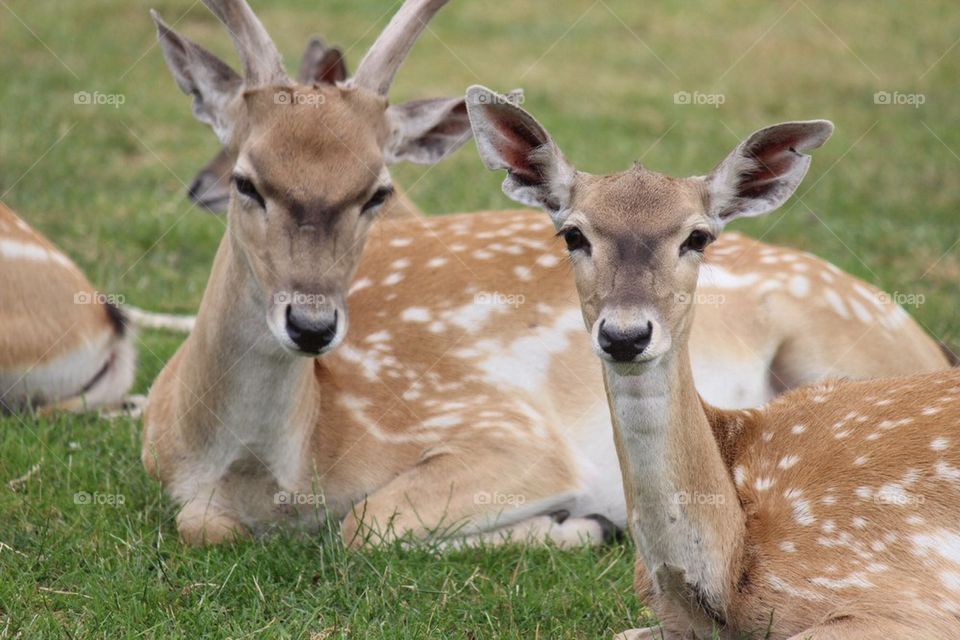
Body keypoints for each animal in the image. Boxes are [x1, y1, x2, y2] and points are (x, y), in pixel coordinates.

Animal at [143, 0, 954, 550]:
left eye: (376, 190)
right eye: (249, 181)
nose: (311, 324)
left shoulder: (510, 433)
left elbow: (365, 522)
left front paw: (581, 523)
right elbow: (200, 524)